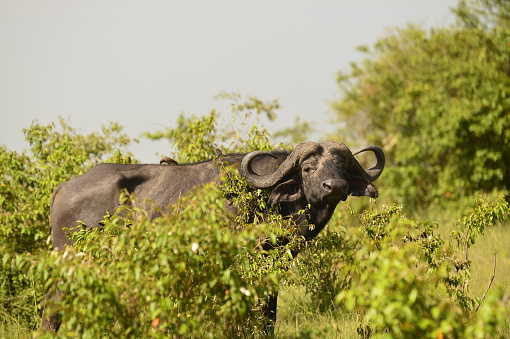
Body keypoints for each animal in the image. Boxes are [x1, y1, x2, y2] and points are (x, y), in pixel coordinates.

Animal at [43, 141, 384, 334]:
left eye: (340, 165)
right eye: (309, 168)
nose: (334, 186)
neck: (267, 198)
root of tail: (64, 187)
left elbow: (269, 310)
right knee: (53, 307)